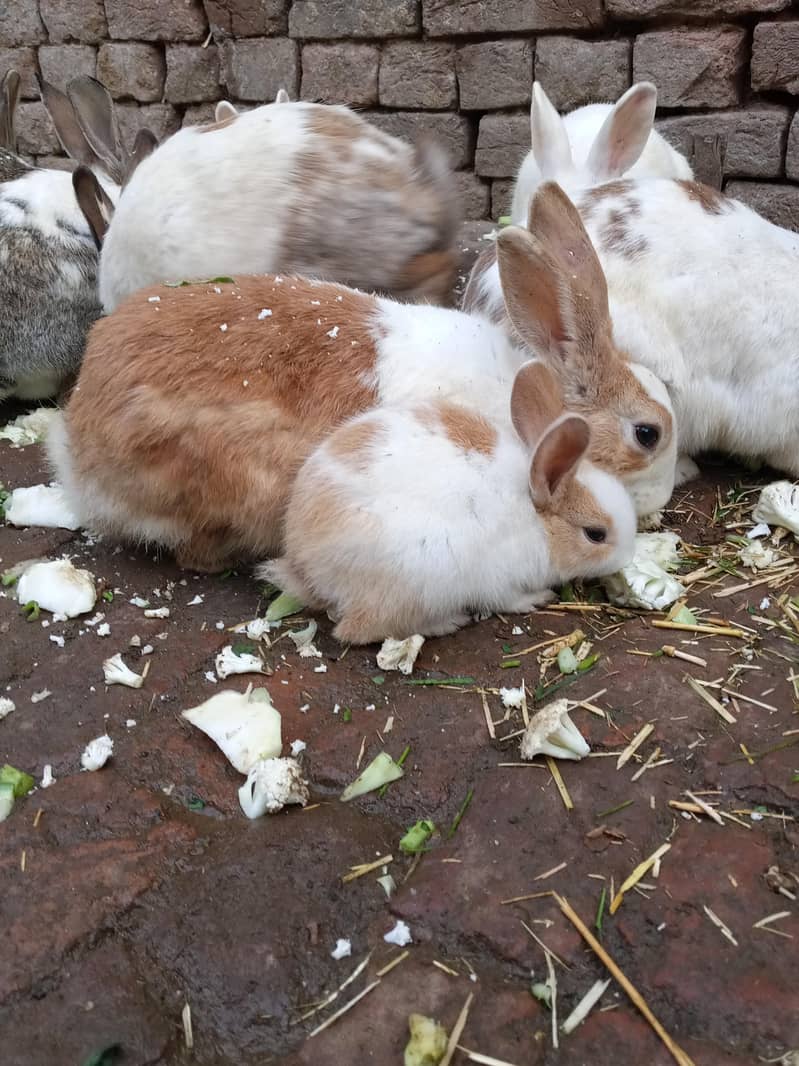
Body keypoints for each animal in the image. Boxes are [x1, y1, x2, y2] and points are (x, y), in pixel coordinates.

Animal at [260, 361, 637, 644]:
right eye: (595, 534)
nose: (626, 558)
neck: (537, 517)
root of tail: (307, 566)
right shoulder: (500, 574)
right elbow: (508, 598)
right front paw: (538, 599)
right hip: (420, 579)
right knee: (359, 630)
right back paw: (447, 622)